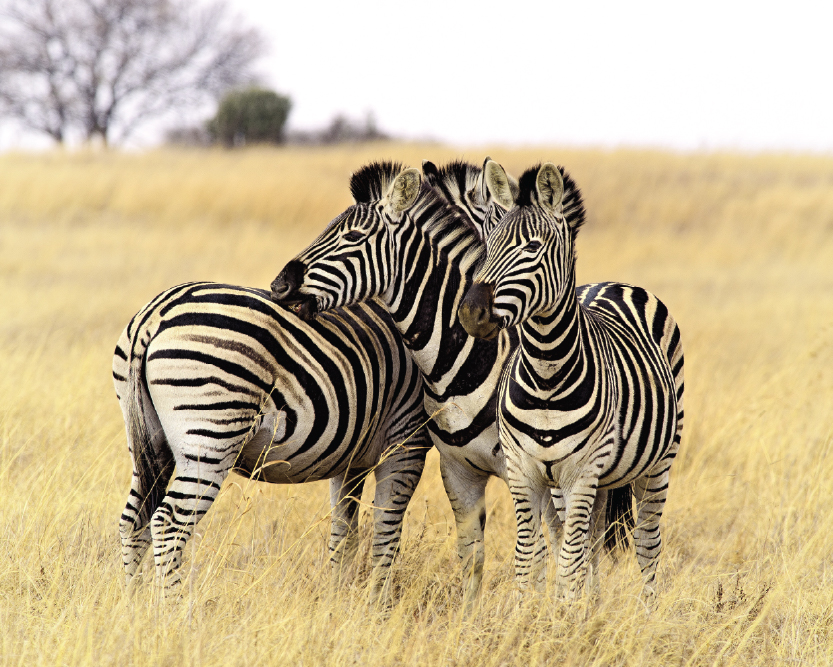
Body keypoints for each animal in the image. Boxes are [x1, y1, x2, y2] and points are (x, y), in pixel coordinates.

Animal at [113, 281, 430, 600]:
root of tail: (154, 314)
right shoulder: (407, 437)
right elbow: (386, 533)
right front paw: (379, 603)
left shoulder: (352, 457)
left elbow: (344, 533)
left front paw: (338, 598)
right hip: (211, 435)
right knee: (167, 523)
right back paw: (173, 608)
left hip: (150, 443)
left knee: (134, 521)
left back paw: (132, 604)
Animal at [458, 161, 685, 600]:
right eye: (488, 245)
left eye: (532, 248)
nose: (471, 313)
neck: (546, 374)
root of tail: (613, 283)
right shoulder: (524, 470)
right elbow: (530, 560)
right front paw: (529, 615)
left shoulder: (581, 472)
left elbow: (567, 564)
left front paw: (563, 615)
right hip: (592, 481)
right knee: (591, 541)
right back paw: (592, 605)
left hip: (657, 463)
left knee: (647, 543)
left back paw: (650, 609)